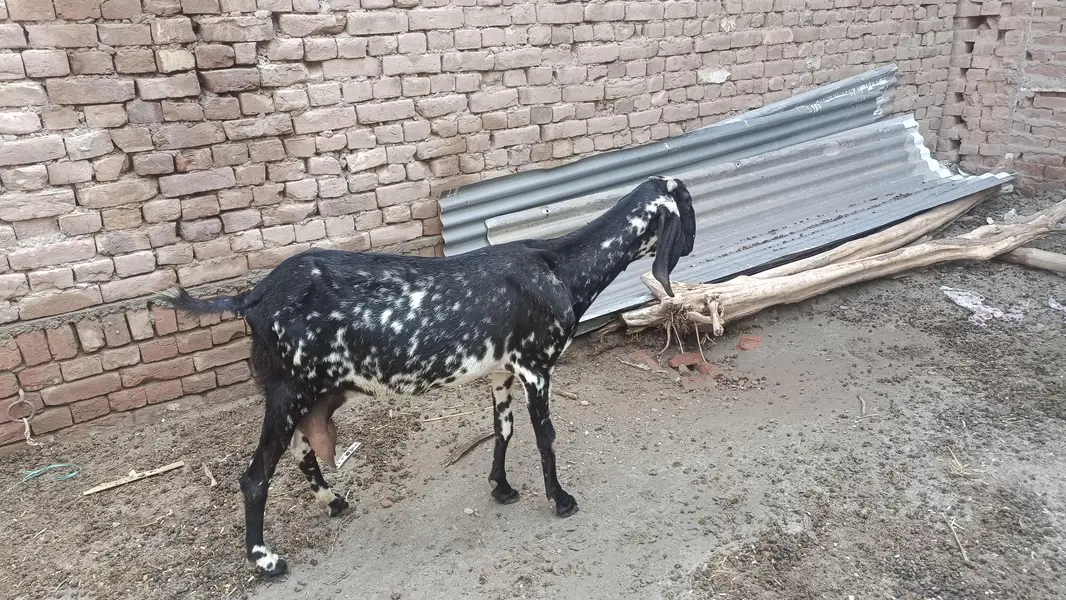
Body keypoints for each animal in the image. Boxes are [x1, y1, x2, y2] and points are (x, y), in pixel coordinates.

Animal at [155, 175, 696, 576]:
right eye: (688, 208)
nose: (691, 244)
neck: (560, 268)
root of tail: (253, 296)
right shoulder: (535, 366)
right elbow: (545, 435)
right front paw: (560, 500)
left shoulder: (501, 369)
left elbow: (504, 429)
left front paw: (501, 487)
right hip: (287, 391)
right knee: (255, 476)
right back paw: (265, 560)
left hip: (314, 393)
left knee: (305, 453)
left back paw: (334, 501)